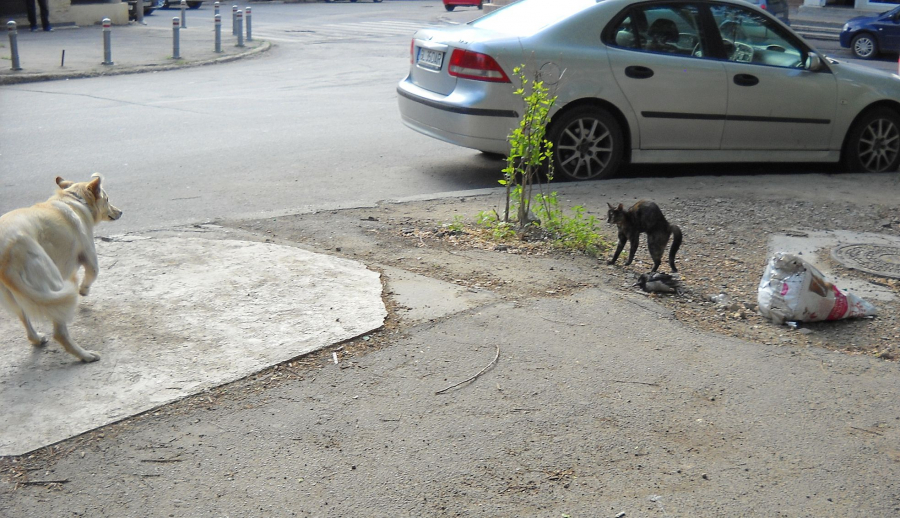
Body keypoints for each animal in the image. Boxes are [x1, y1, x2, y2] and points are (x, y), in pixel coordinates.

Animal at [0, 175, 121, 362]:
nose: (120, 212)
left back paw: (37, 339)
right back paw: (86, 356)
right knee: (60, 333)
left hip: (16, 296)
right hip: (51, 282)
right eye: (107, 199)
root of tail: (5, 251)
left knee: (25, 318)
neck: (74, 199)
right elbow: (93, 273)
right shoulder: (90, 256)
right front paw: (84, 290)